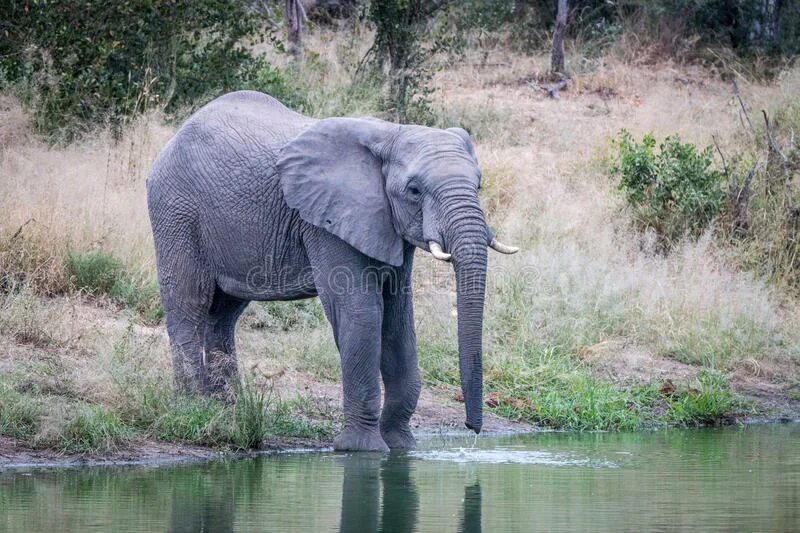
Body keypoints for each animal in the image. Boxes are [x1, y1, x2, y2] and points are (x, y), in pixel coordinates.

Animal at [146, 90, 516, 448]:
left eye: (479, 185)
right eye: (414, 191)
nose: (472, 428)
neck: (390, 134)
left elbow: (398, 319)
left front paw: (401, 446)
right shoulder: (326, 221)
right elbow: (361, 312)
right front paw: (361, 449)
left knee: (223, 313)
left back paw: (226, 412)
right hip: (176, 209)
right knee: (189, 303)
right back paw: (193, 409)